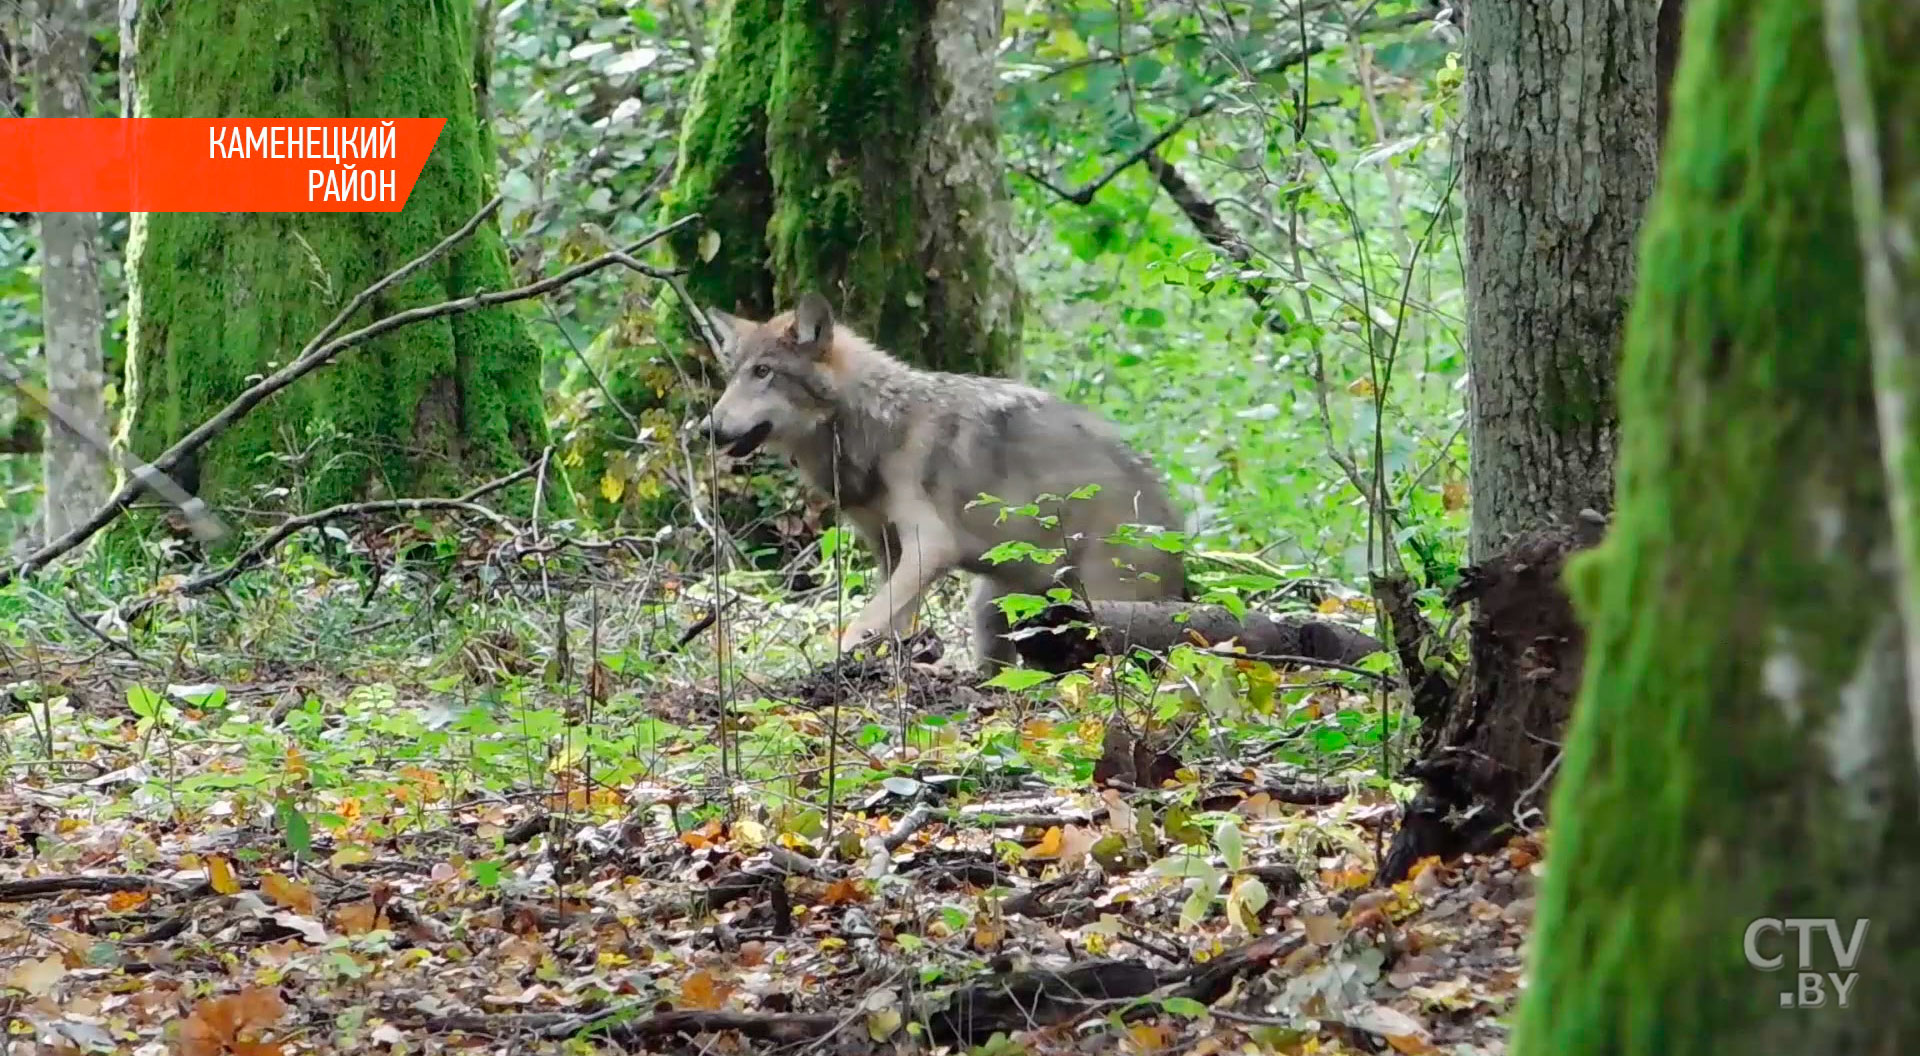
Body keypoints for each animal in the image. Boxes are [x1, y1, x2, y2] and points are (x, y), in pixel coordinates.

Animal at [698, 291, 1175, 672]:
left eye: (763, 372)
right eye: (732, 375)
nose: (707, 429)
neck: (878, 426)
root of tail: (1178, 527)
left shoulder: (929, 546)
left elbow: (864, 620)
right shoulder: (888, 550)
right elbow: (890, 620)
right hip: (991, 605)